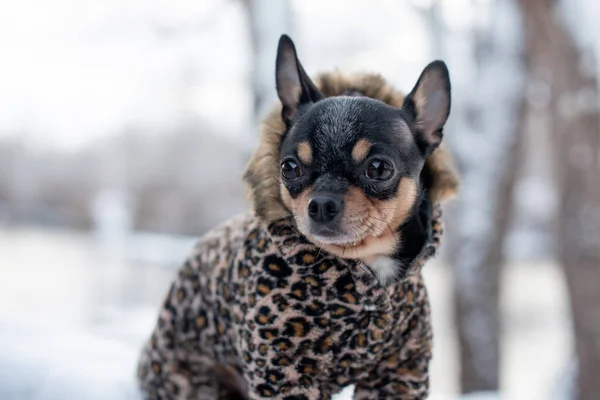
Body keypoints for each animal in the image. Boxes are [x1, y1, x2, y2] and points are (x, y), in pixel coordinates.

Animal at [138, 34, 458, 400]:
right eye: (289, 167)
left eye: (379, 168)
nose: (320, 204)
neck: (366, 267)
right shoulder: (282, 373)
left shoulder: (399, 372)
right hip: (196, 382)